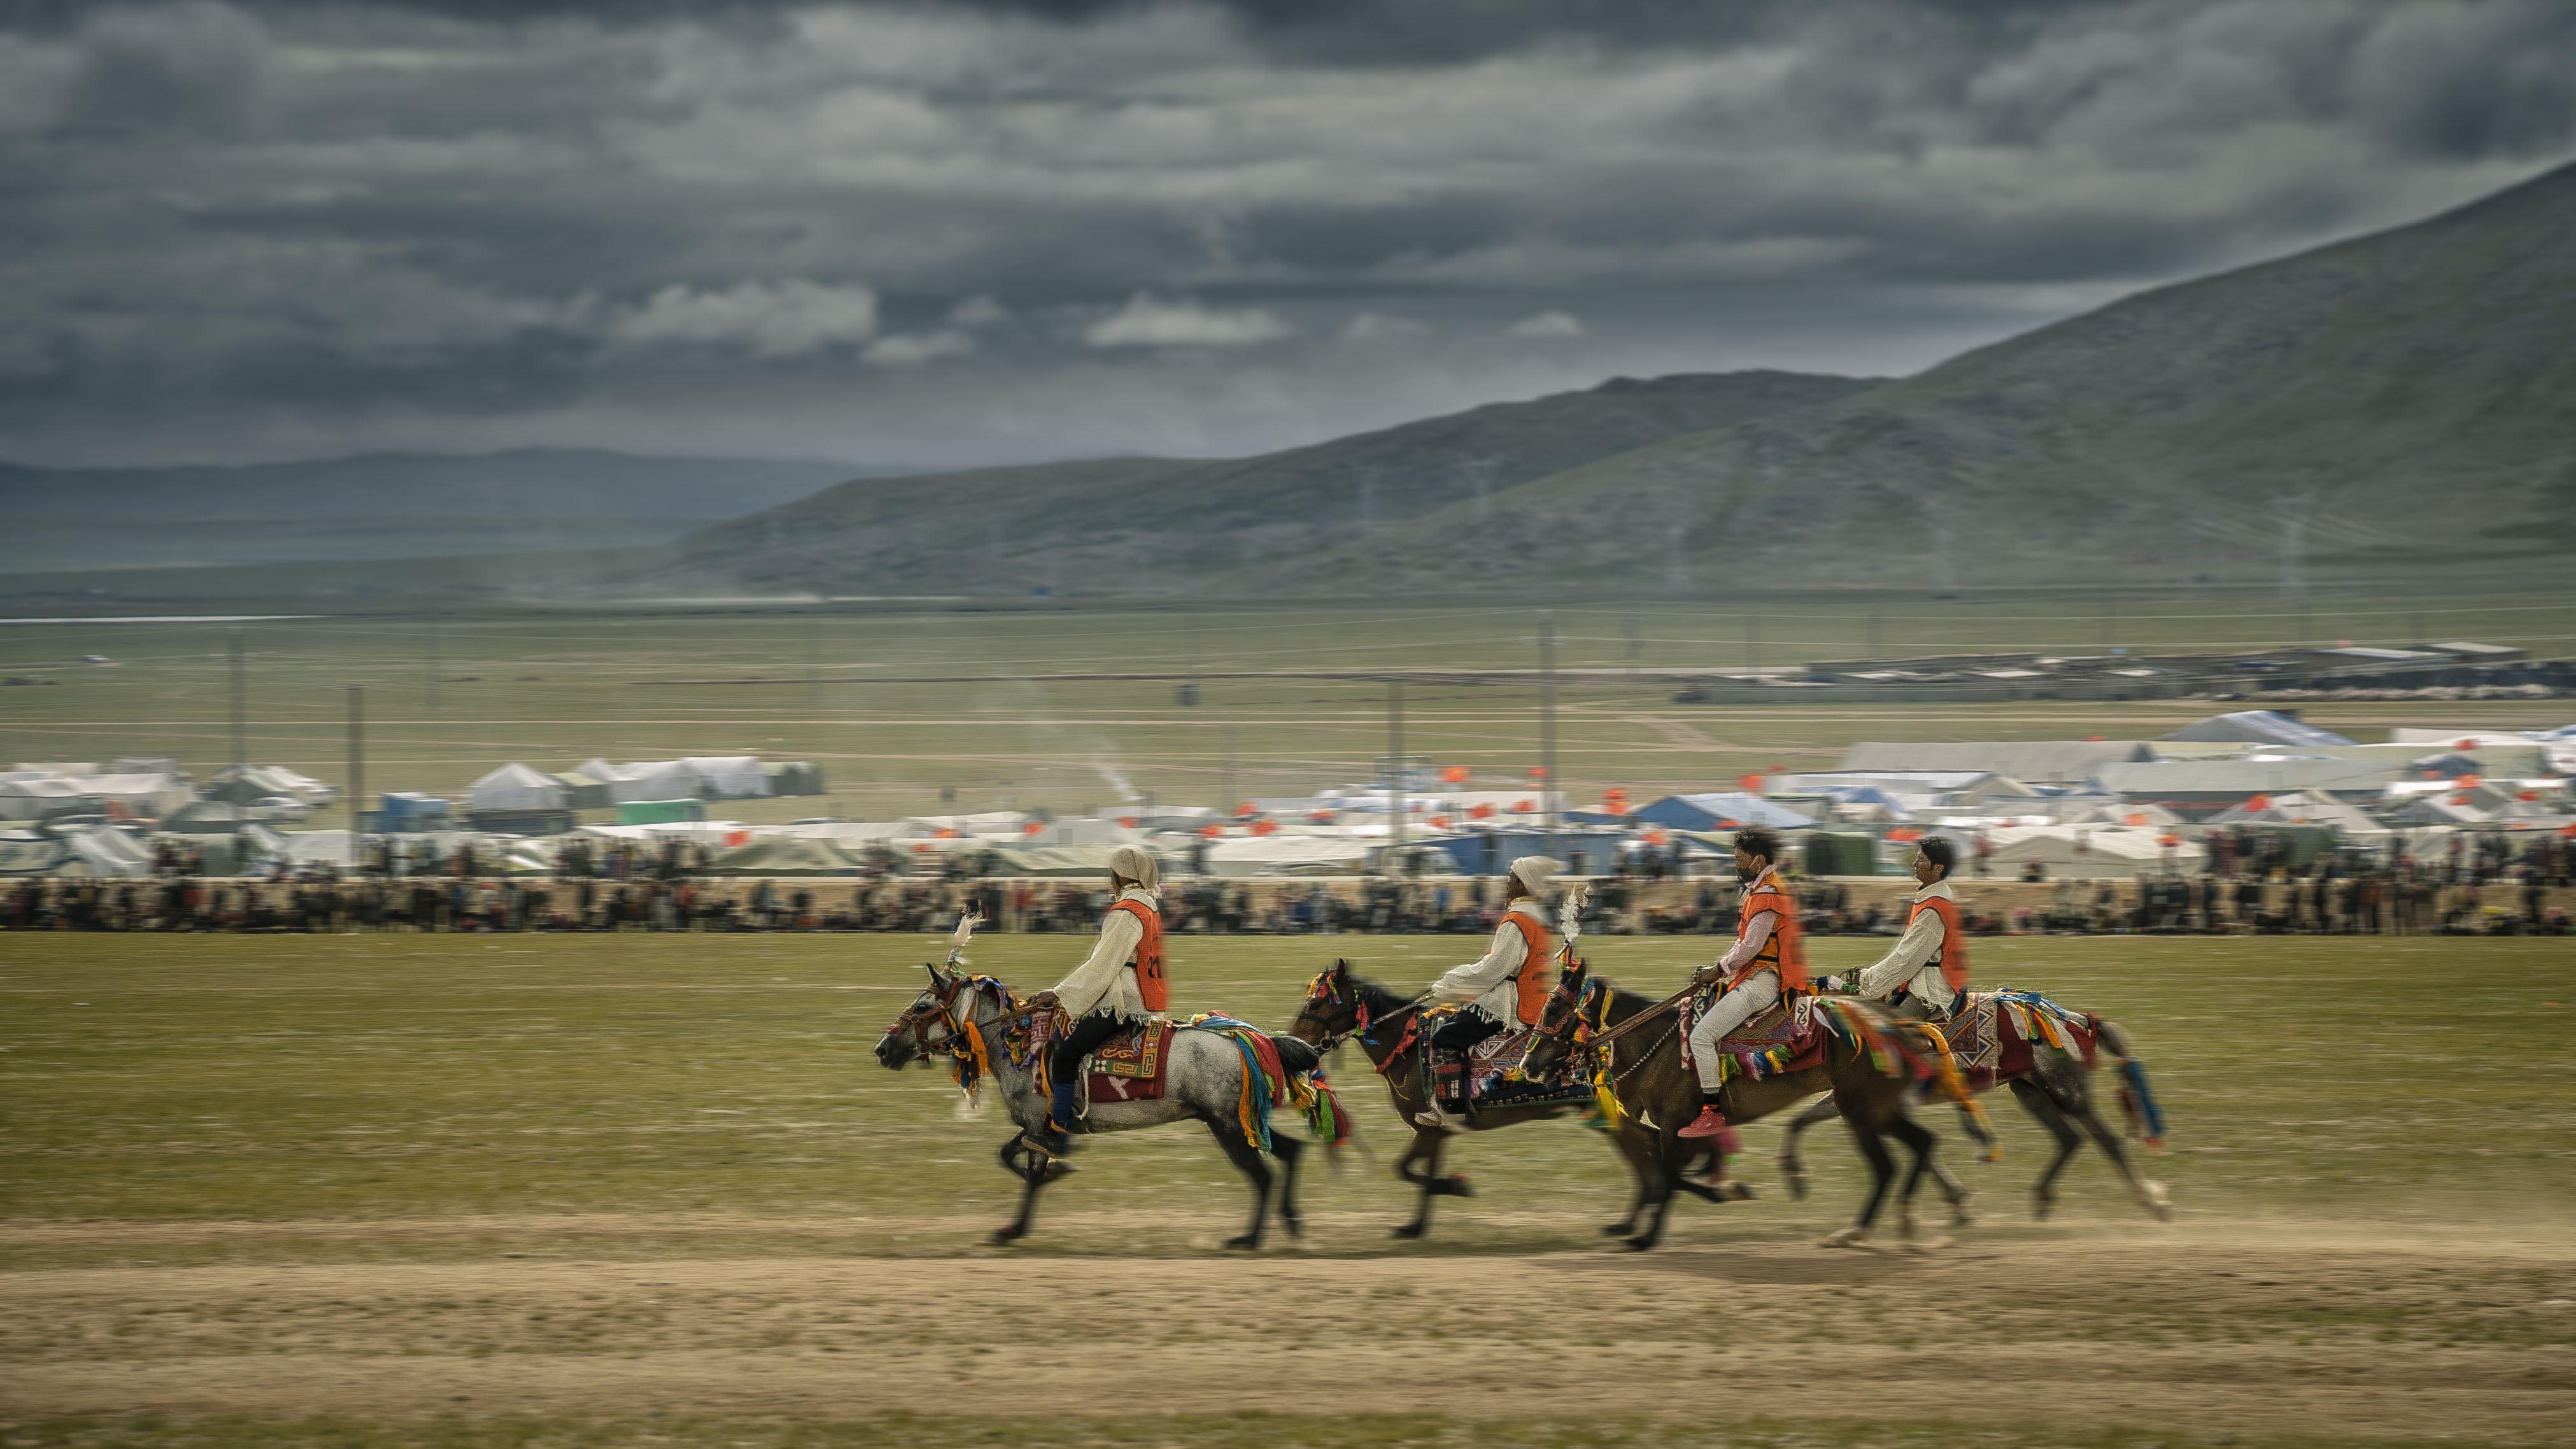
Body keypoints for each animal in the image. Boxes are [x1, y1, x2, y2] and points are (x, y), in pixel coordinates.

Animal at [1288, 962, 1730, 1245]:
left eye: (1316, 1004)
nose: (1295, 1046)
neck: (1408, 1045)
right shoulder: (1435, 1129)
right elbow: (1419, 1175)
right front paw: (1416, 1226)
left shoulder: (1431, 1127)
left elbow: (1409, 1171)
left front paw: (1456, 1188)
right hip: (1613, 1114)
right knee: (1651, 1157)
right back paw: (1636, 1221)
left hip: (1616, 1115)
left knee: (1654, 1153)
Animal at [1515, 957, 1957, 1250]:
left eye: (1553, 1008)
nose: (1527, 1065)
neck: (1659, 1047)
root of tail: (1903, 1026)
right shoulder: (1672, 1130)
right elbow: (1663, 1175)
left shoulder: (1676, 1125)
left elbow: (1666, 1177)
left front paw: (1647, 1236)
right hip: (1880, 1108)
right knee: (1923, 1142)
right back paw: (1908, 1225)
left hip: (1860, 1110)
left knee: (1887, 1167)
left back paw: (1859, 1231)